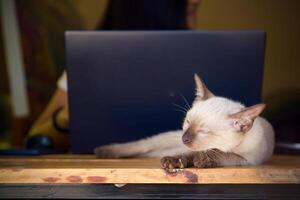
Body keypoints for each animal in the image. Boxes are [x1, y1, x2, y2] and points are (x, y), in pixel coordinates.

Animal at [95, 73, 274, 170]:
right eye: (187, 122)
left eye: (203, 131)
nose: (184, 138)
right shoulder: (187, 147)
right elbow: (187, 154)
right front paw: (174, 162)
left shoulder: (247, 161)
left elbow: (224, 155)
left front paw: (202, 160)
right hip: (163, 140)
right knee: (142, 145)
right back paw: (104, 152)